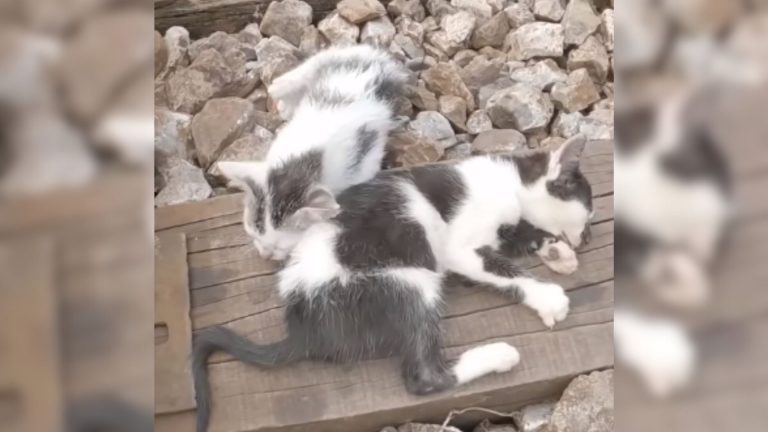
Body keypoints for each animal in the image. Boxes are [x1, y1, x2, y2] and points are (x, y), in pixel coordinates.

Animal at [194, 136, 592, 432]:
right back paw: (499, 355)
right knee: (423, 376)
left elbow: (517, 237)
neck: (507, 183)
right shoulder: (459, 246)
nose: (585, 238)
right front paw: (547, 295)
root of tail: (302, 327)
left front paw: (556, 252)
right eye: (586, 215)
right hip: (407, 280)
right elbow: (502, 267)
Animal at [216, 44, 408, 260]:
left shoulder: (364, 165)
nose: (265, 254)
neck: (304, 162)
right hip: (326, 59)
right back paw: (286, 104)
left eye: (280, 248)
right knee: (282, 83)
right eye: (253, 233)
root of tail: (378, 57)